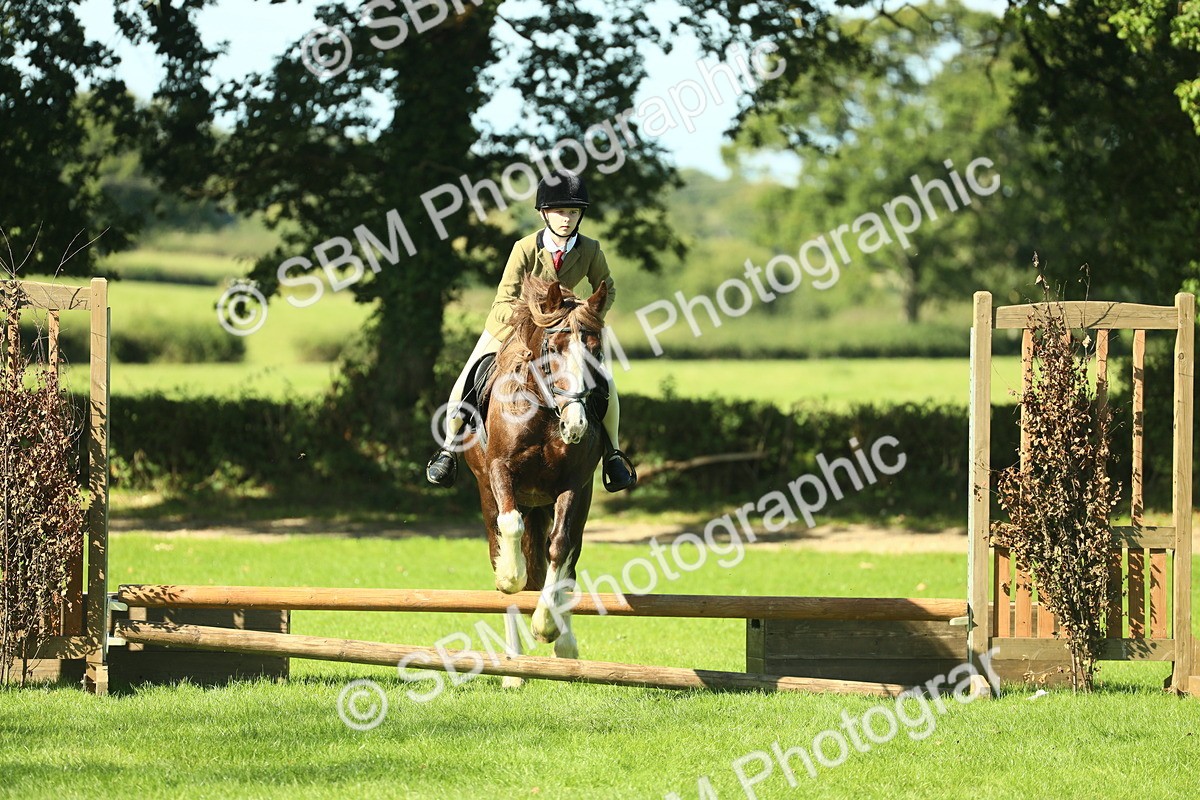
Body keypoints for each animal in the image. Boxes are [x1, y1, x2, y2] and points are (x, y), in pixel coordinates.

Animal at [462, 274, 609, 674]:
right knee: (502, 541)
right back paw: (513, 668)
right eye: (553, 349)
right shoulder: (499, 470)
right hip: (490, 496)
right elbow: (511, 528)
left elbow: (560, 549)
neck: (544, 410)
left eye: (596, 352)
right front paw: (511, 576)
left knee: (568, 562)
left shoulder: (574, 485)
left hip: (569, 503)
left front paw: (546, 626)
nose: (575, 426)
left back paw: (566, 645)